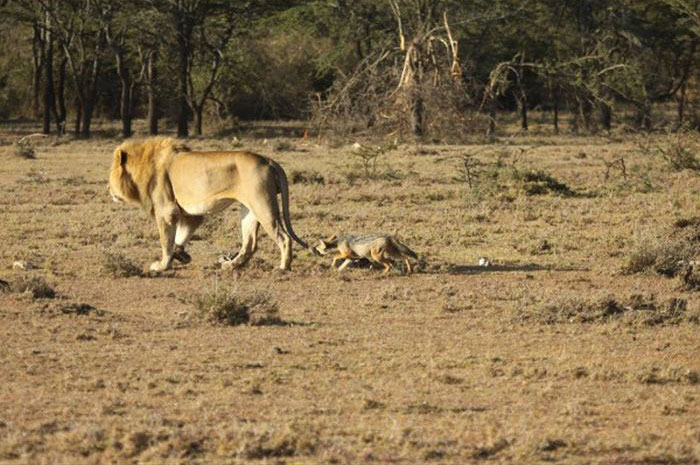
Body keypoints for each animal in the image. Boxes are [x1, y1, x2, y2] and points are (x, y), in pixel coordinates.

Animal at [108, 136, 312, 270]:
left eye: (110, 173)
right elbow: (181, 236)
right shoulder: (190, 215)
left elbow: (166, 241)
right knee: (250, 244)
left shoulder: (166, 212)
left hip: (263, 204)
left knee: (284, 238)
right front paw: (180, 255)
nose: (108, 188)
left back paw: (283, 268)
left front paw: (162, 265)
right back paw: (231, 265)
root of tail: (268, 160)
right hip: (249, 210)